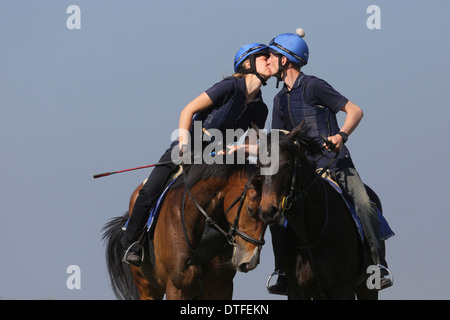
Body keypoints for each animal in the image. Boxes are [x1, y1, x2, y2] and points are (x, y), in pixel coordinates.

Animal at [102, 160, 268, 300]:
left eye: (269, 214)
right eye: (250, 210)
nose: (249, 260)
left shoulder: (221, 286)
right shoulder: (177, 288)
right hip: (148, 289)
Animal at [256, 123, 386, 300]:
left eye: (286, 164)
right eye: (259, 166)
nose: (268, 211)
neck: (311, 235)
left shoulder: (343, 289)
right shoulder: (297, 291)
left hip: (367, 288)